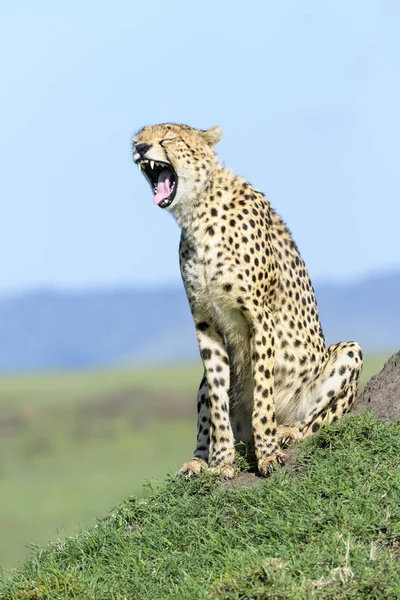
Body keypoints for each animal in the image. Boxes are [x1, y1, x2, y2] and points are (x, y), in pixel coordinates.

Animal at [133, 124, 364, 480]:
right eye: (139, 136)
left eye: (168, 138)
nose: (140, 148)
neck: (197, 212)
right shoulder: (205, 323)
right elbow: (217, 400)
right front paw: (222, 462)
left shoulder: (260, 316)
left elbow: (263, 393)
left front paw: (267, 454)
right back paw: (198, 461)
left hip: (349, 353)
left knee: (314, 423)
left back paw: (286, 432)